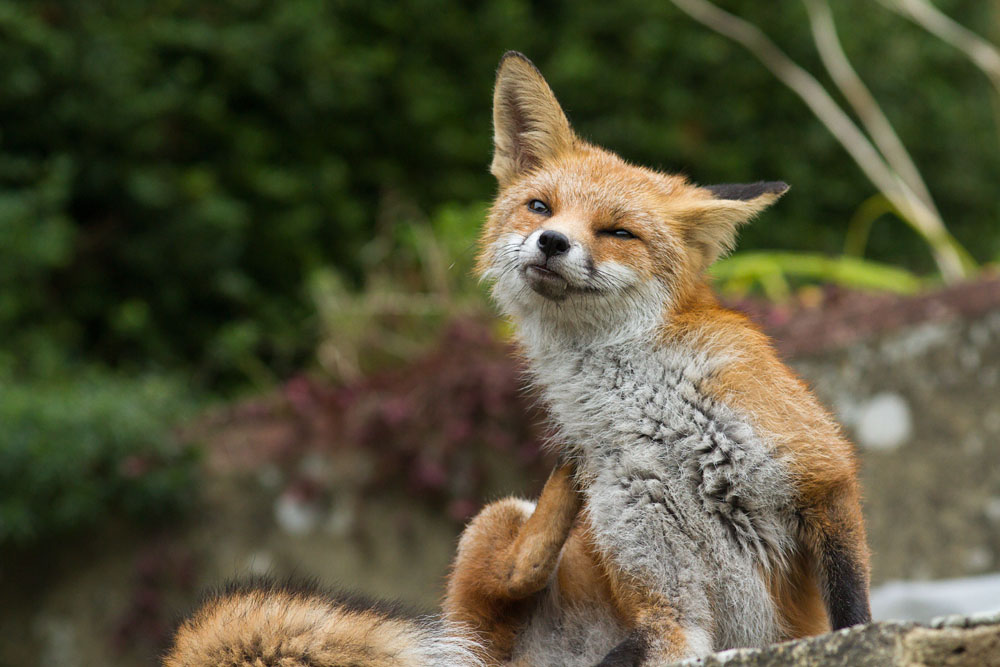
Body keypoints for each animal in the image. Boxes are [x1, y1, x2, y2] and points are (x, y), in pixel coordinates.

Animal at [441, 51, 872, 665]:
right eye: (540, 207)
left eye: (618, 232)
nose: (552, 241)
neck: (652, 414)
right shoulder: (665, 593)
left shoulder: (820, 470)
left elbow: (852, 610)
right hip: (495, 522)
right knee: (516, 570)